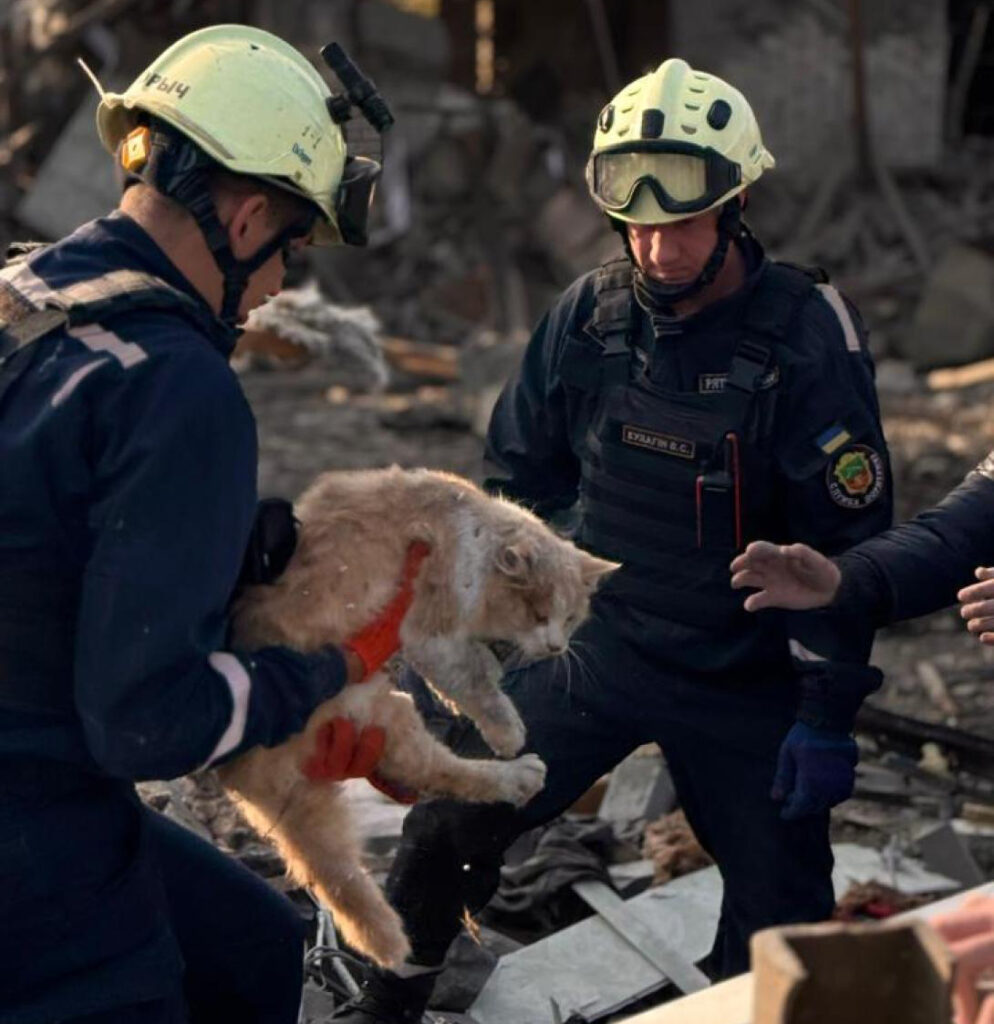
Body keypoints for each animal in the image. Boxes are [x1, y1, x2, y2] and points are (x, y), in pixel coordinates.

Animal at [218, 468, 614, 962]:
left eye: (572, 617)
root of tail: (245, 773)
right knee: (438, 770)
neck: (476, 533)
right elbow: (476, 680)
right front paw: (506, 730)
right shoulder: (431, 631)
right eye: (539, 614)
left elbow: (478, 668)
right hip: (385, 712)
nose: (556, 647)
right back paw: (518, 775)